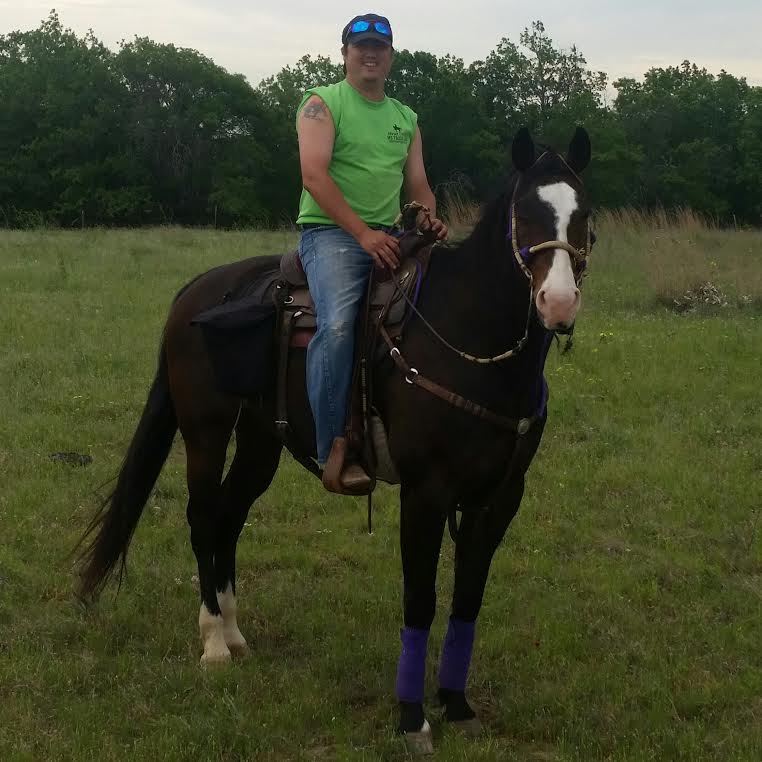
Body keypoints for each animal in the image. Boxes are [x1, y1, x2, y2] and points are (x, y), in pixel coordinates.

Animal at [77, 127, 592, 752]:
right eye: (526, 213)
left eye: (584, 214)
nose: (558, 304)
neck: (470, 339)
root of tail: (194, 293)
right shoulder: (426, 493)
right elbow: (420, 598)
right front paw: (412, 717)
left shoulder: (499, 497)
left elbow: (468, 596)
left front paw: (456, 703)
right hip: (205, 430)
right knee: (202, 518)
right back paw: (214, 642)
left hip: (260, 442)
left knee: (228, 517)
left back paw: (235, 632)